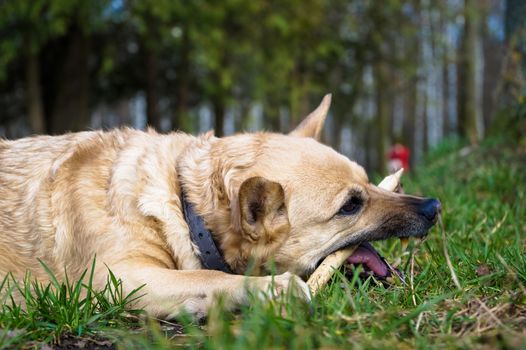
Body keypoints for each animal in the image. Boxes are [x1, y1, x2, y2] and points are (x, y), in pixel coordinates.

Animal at [0, 94, 442, 318]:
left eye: (368, 181)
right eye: (351, 206)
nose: (434, 206)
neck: (183, 203)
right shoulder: (115, 280)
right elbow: (210, 277)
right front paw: (273, 289)